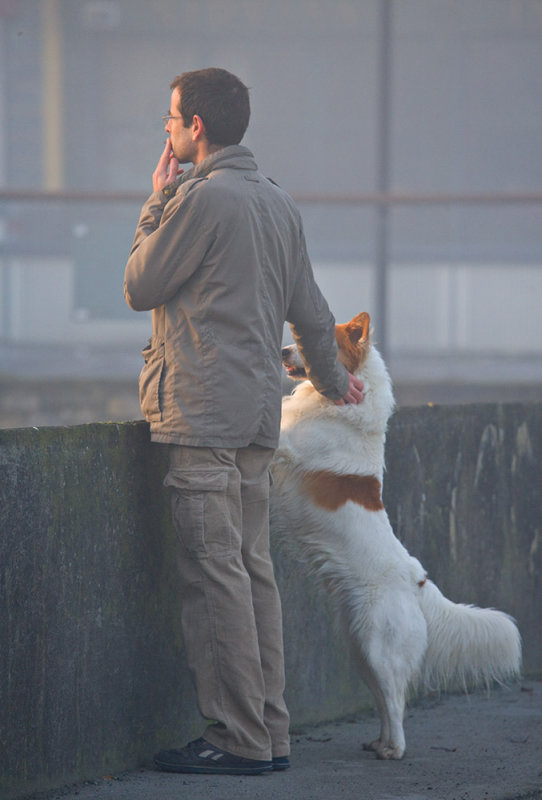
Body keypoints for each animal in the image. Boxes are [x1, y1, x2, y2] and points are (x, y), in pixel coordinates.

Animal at [270, 310, 524, 760]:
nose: (283, 350)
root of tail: (417, 580)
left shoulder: (286, 442)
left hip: (378, 648)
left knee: (395, 701)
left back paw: (394, 750)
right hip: (362, 651)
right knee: (389, 701)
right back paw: (380, 742)